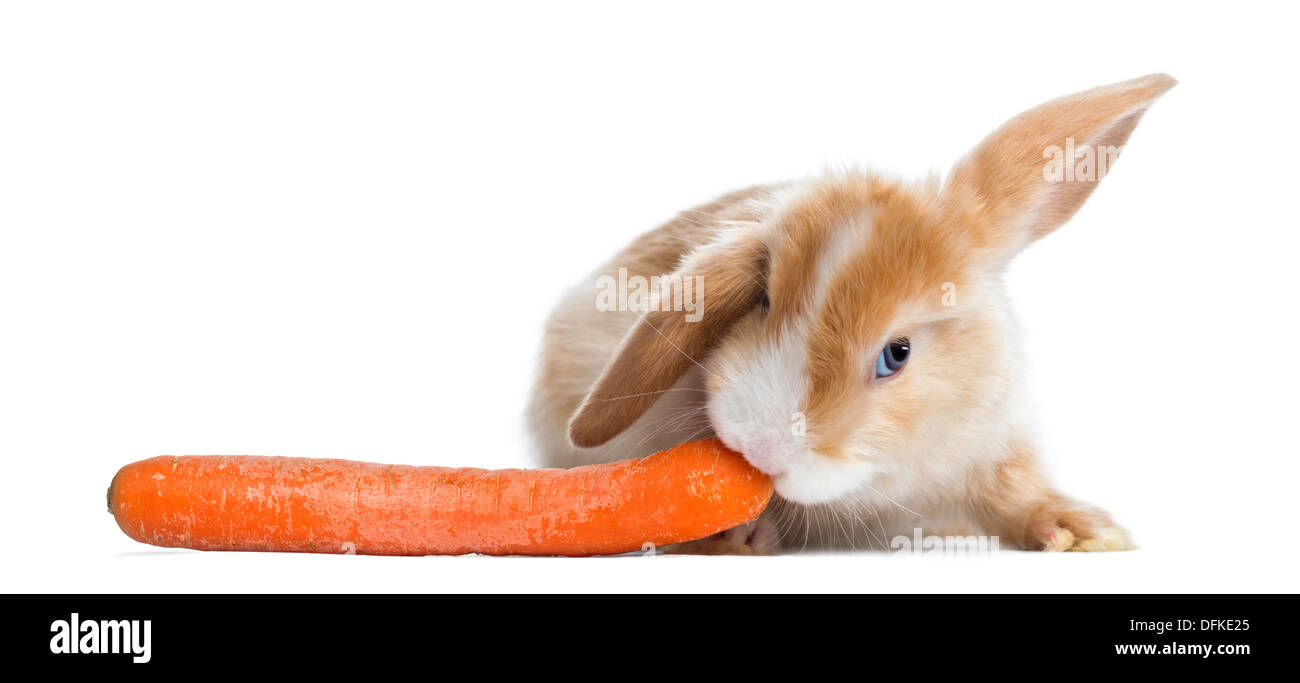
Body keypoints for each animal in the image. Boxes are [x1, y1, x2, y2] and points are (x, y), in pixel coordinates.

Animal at [527, 74, 1175, 553]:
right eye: (764, 301)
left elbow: (1015, 493)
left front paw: (1082, 530)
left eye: (897, 354)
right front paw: (736, 534)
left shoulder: (992, 446)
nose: (764, 449)